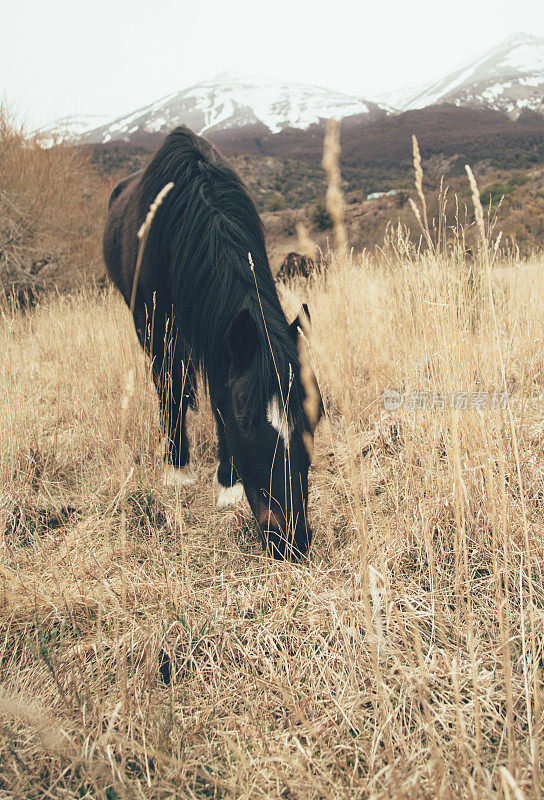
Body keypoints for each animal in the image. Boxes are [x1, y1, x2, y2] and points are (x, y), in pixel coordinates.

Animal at [104, 128, 320, 560]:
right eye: (247, 422)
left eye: (314, 415)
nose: (293, 541)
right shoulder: (158, 329)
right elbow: (174, 389)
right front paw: (177, 470)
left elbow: (217, 390)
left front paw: (228, 484)